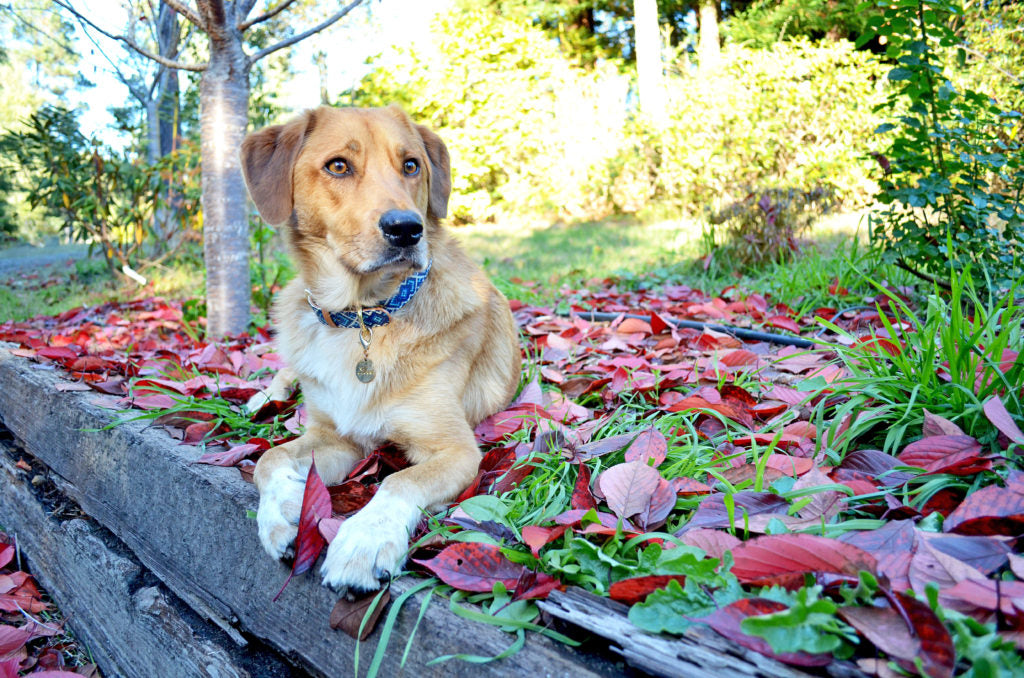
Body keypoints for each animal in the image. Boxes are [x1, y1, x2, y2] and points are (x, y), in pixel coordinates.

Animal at [239, 103, 520, 594]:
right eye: (338, 166)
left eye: (411, 165)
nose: (407, 229)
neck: (365, 316)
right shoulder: (334, 436)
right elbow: (269, 457)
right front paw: (282, 513)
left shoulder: (456, 450)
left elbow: (400, 482)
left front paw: (365, 540)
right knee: (286, 374)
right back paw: (263, 396)